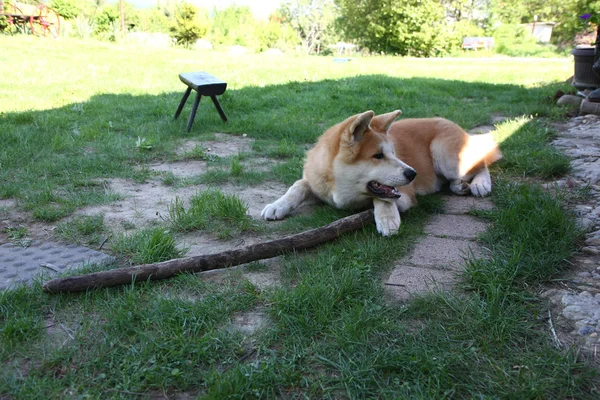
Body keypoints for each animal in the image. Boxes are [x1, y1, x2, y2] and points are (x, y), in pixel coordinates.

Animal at [262, 110, 502, 234]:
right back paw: (459, 185)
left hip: (445, 154)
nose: (413, 174)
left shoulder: (404, 194)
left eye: (393, 153)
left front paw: (387, 219)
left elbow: (383, 198)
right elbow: (298, 186)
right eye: (378, 155)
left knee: (482, 161)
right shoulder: (316, 183)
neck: (341, 187)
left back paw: (480, 184)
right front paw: (277, 205)